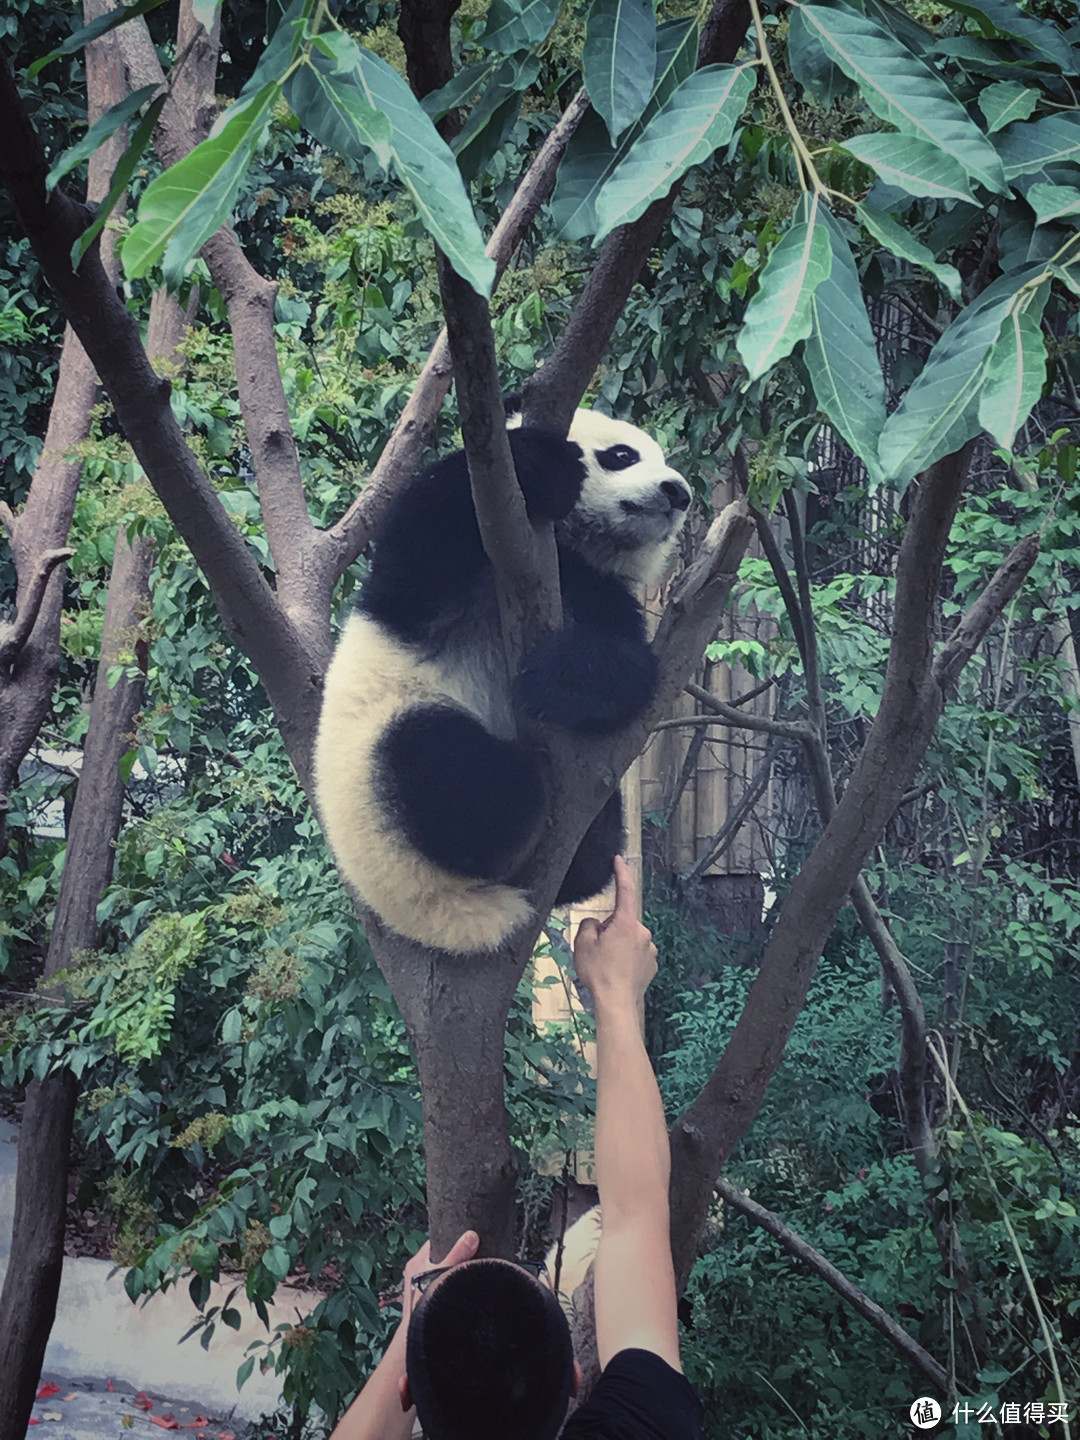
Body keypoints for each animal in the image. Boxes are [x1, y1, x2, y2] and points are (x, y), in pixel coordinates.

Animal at [315, 406, 694, 950]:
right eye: (622, 455)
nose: (678, 492)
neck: (563, 549)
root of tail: (446, 922)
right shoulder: (437, 568)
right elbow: (429, 533)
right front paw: (540, 465)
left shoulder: (597, 588)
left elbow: (630, 669)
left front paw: (556, 677)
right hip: (380, 789)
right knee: (445, 768)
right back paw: (523, 785)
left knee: (590, 851)